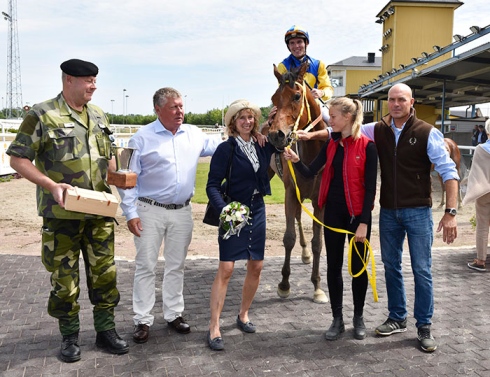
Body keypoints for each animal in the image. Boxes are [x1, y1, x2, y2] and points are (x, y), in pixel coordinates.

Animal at [264, 62, 330, 302]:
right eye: (274, 98)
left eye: (296, 96)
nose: (276, 135)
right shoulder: (290, 192)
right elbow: (288, 237)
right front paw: (284, 284)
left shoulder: (320, 200)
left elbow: (318, 242)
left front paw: (318, 285)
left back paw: (306, 254)